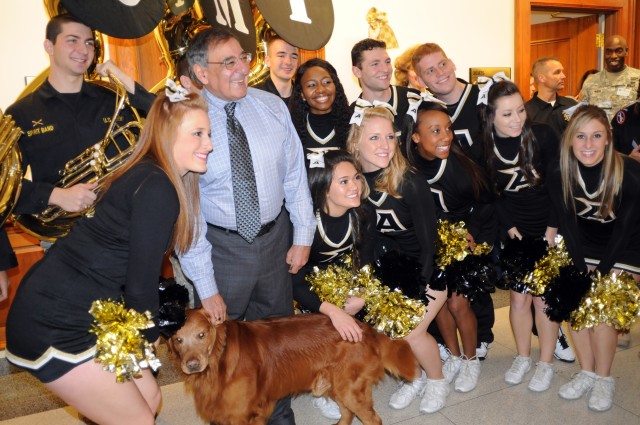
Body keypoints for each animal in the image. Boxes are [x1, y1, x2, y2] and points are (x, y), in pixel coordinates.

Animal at [169, 308, 420, 424]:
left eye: (201, 335)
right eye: (178, 340)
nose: (192, 365)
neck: (218, 361)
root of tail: (365, 328)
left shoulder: (242, 415)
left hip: (349, 388)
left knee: (372, 419)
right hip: (340, 385)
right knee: (348, 413)